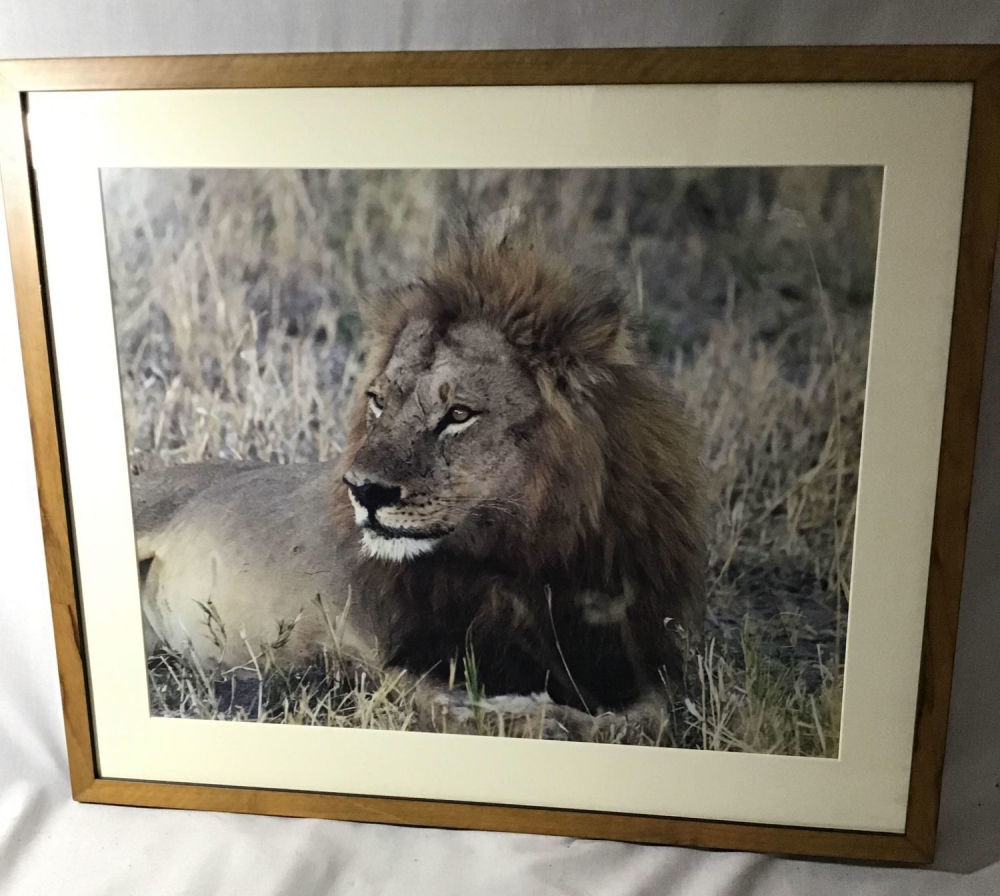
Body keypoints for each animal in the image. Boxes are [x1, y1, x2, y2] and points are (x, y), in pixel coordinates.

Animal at [134, 232, 707, 714]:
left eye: (458, 414)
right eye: (379, 402)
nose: (363, 491)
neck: (530, 559)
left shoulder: (632, 657)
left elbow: (647, 718)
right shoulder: (395, 662)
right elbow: (507, 718)